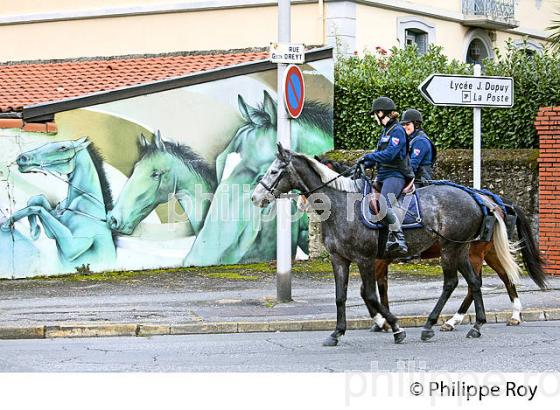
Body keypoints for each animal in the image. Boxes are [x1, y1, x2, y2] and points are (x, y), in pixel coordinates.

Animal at [252, 145, 524, 346]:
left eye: (275, 171)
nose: (256, 197)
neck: (341, 206)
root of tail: (478, 198)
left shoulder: (367, 259)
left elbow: (370, 294)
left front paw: (394, 327)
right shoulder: (340, 259)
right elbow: (342, 297)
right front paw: (337, 333)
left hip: (451, 249)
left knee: (453, 283)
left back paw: (432, 325)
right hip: (462, 250)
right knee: (473, 282)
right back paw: (475, 325)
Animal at [318, 159, 548, 332]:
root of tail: (491, 201)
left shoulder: (375, 259)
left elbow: (367, 291)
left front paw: (383, 321)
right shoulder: (379, 260)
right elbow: (379, 289)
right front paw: (385, 321)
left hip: (471, 252)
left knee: (476, 282)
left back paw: (455, 320)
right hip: (485, 252)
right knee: (499, 277)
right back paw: (506, 315)